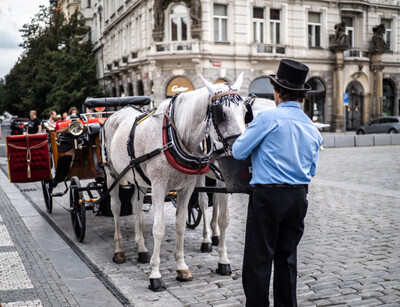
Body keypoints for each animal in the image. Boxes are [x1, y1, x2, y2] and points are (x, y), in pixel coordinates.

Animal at [101, 74, 247, 292]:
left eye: (246, 112)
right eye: (222, 114)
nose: (241, 151)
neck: (173, 135)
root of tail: (116, 113)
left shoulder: (188, 187)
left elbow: (183, 224)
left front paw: (184, 267)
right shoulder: (159, 186)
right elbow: (159, 229)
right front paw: (155, 275)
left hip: (139, 178)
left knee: (136, 208)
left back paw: (142, 249)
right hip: (112, 174)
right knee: (117, 208)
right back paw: (119, 250)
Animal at [195, 97, 276, 274]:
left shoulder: (225, 180)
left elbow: (222, 215)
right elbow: (219, 214)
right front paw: (223, 260)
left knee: (215, 200)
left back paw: (215, 235)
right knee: (202, 201)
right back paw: (206, 239)